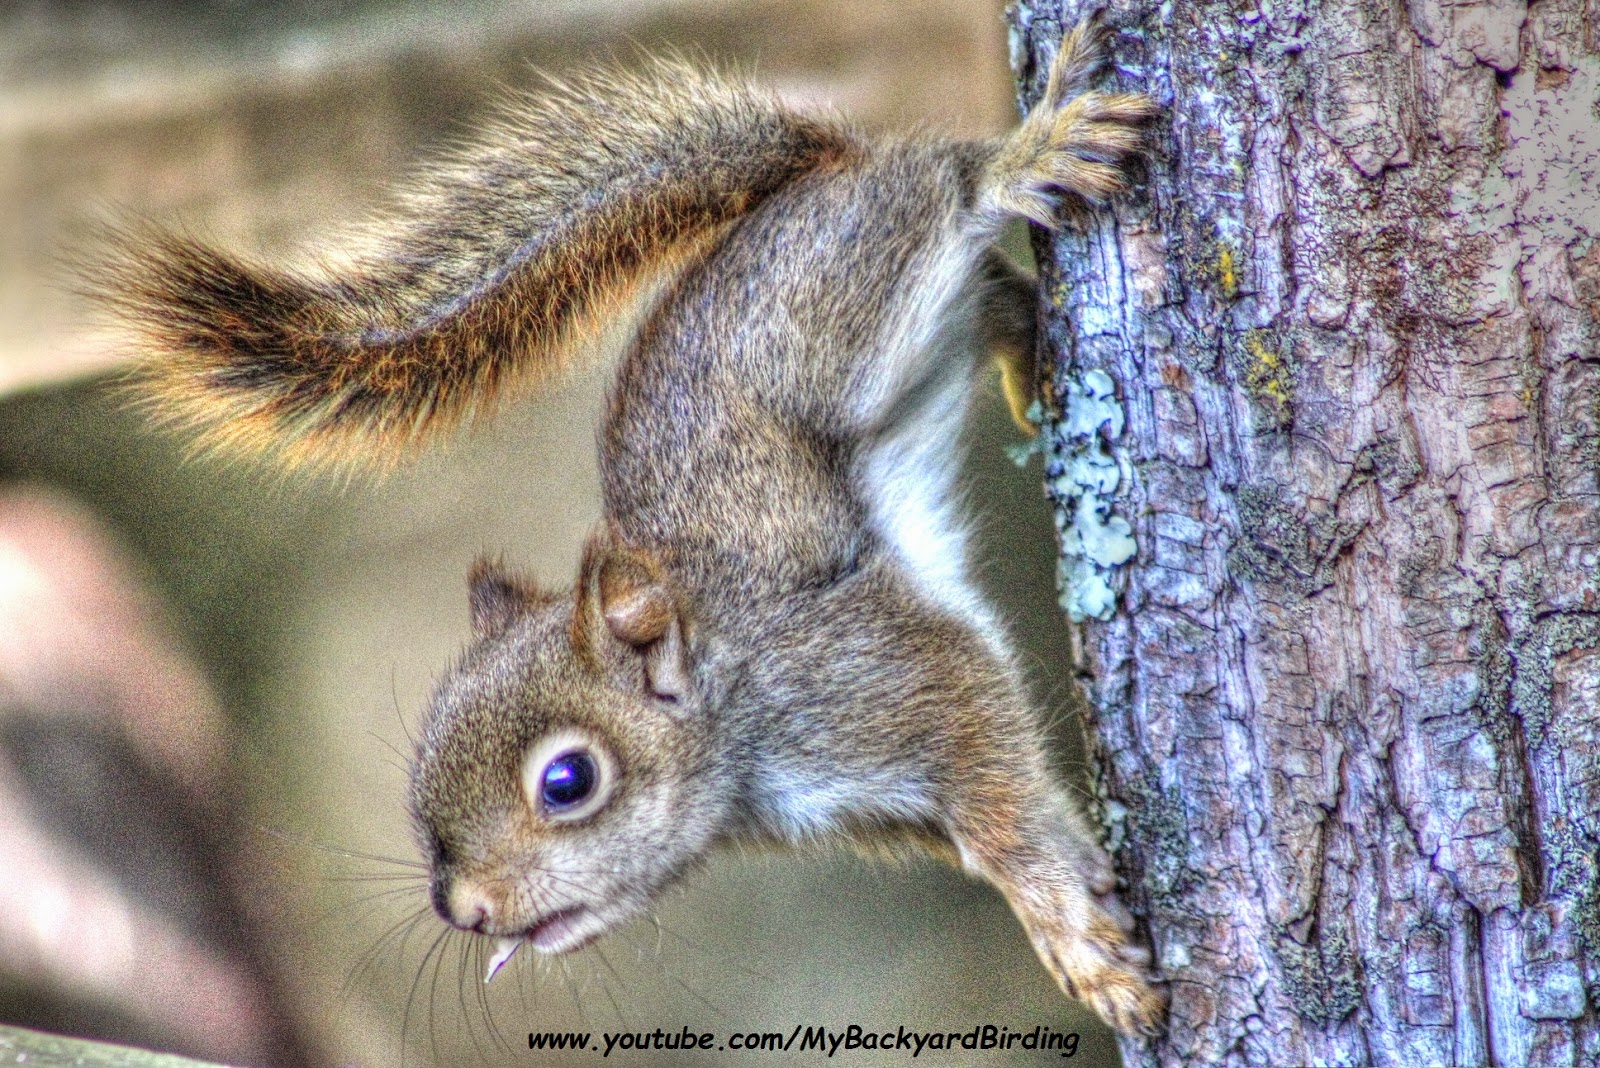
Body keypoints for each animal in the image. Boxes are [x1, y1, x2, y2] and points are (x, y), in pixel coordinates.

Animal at [97, 17, 1164, 1036]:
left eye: (568, 782)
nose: (467, 911)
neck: (733, 711)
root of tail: (816, 169)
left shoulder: (879, 671)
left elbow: (998, 789)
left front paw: (1080, 943)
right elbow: (992, 822)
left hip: (848, 276)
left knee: (947, 181)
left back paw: (1033, 151)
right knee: (993, 284)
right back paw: (1028, 360)